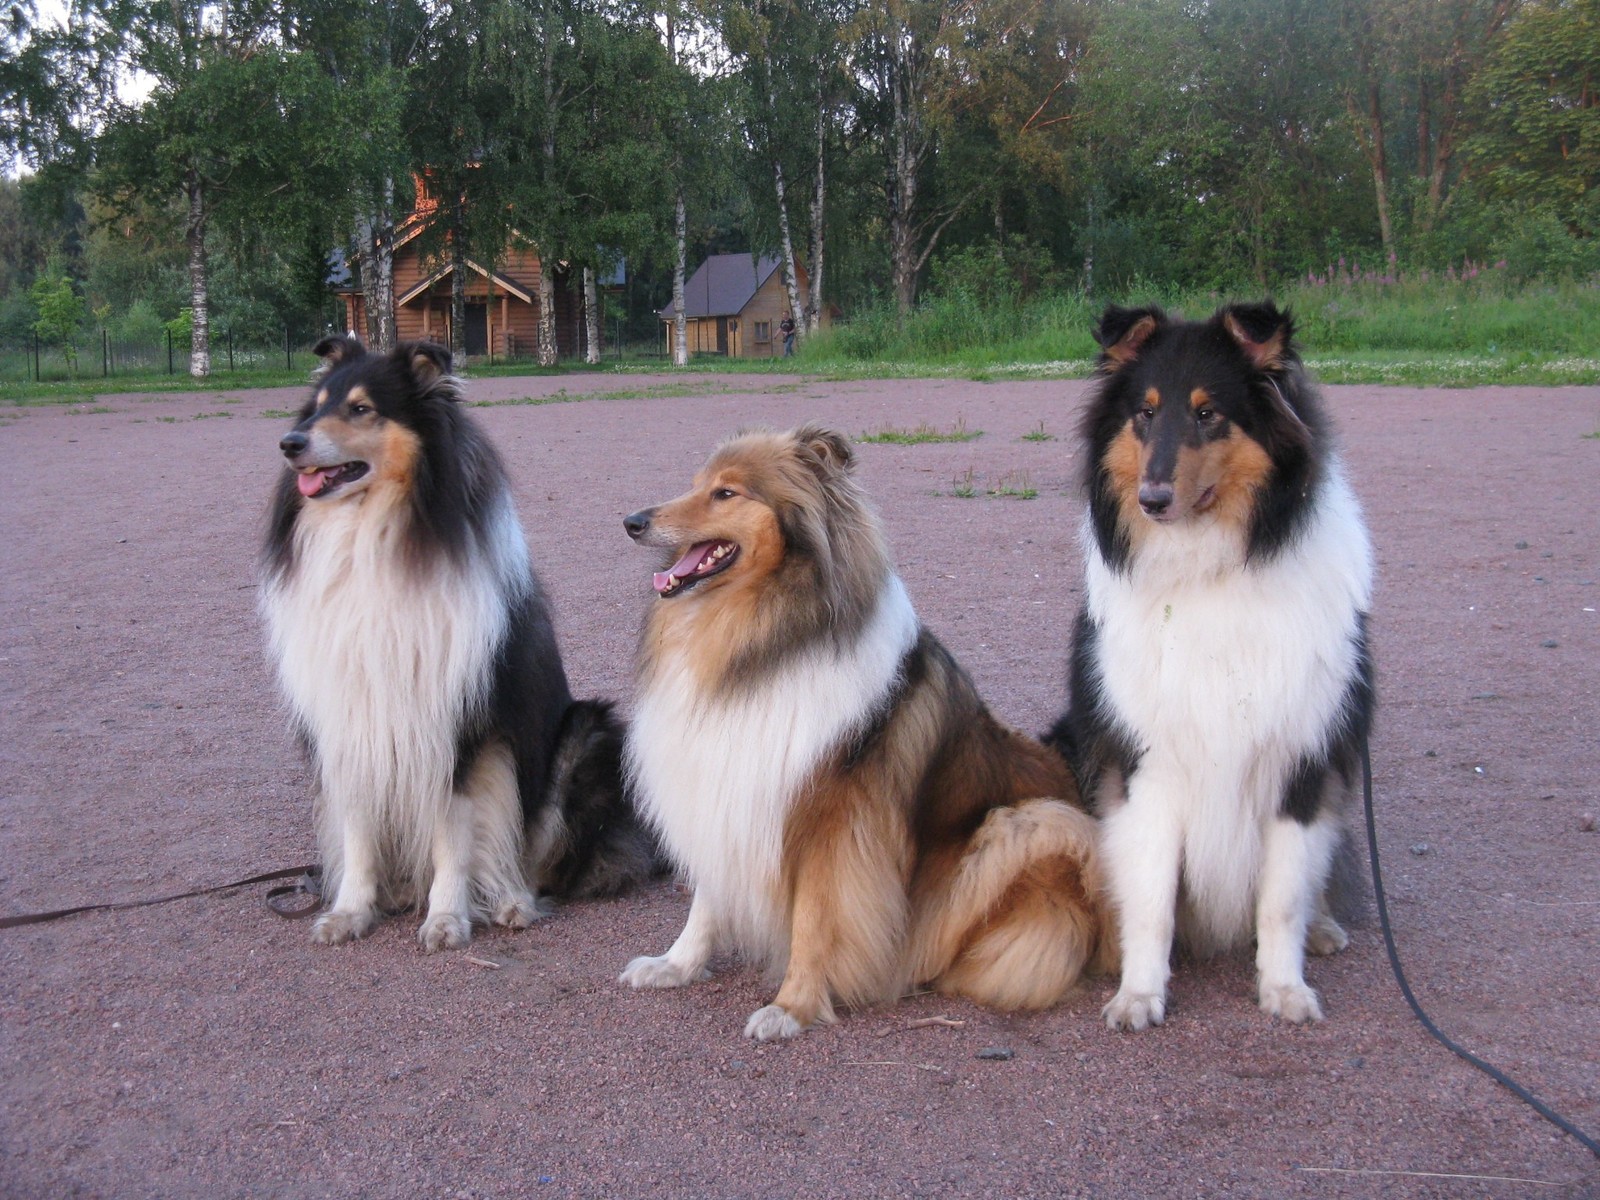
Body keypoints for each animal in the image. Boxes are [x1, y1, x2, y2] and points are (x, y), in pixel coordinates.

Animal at [260, 336, 656, 947]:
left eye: (361, 408)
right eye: (315, 407)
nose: (289, 443)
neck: (372, 544)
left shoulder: (460, 724)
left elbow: (454, 829)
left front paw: (447, 918)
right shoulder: (347, 723)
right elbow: (357, 831)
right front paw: (350, 911)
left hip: (585, 733)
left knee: (541, 862)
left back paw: (511, 900)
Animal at [614, 425, 1113, 1043]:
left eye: (726, 493)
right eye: (695, 484)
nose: (632, 521)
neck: (761, 645)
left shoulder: (835, 823)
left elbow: (815, 919)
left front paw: (792, 1006)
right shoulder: (728, 788)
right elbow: (706, 900)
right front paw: (676, 965)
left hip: (1031, 824)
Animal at [1049, 302, 1376, 1036]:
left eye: (1208, 414)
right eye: (1144, 413)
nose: (1153, 498)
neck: (1208, 574)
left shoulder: (1301, 762)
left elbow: (1281, 898)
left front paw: (1285, 989)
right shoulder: (1147, 764)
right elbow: (1150, 899)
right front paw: (1139, 995)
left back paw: (1323, 928)